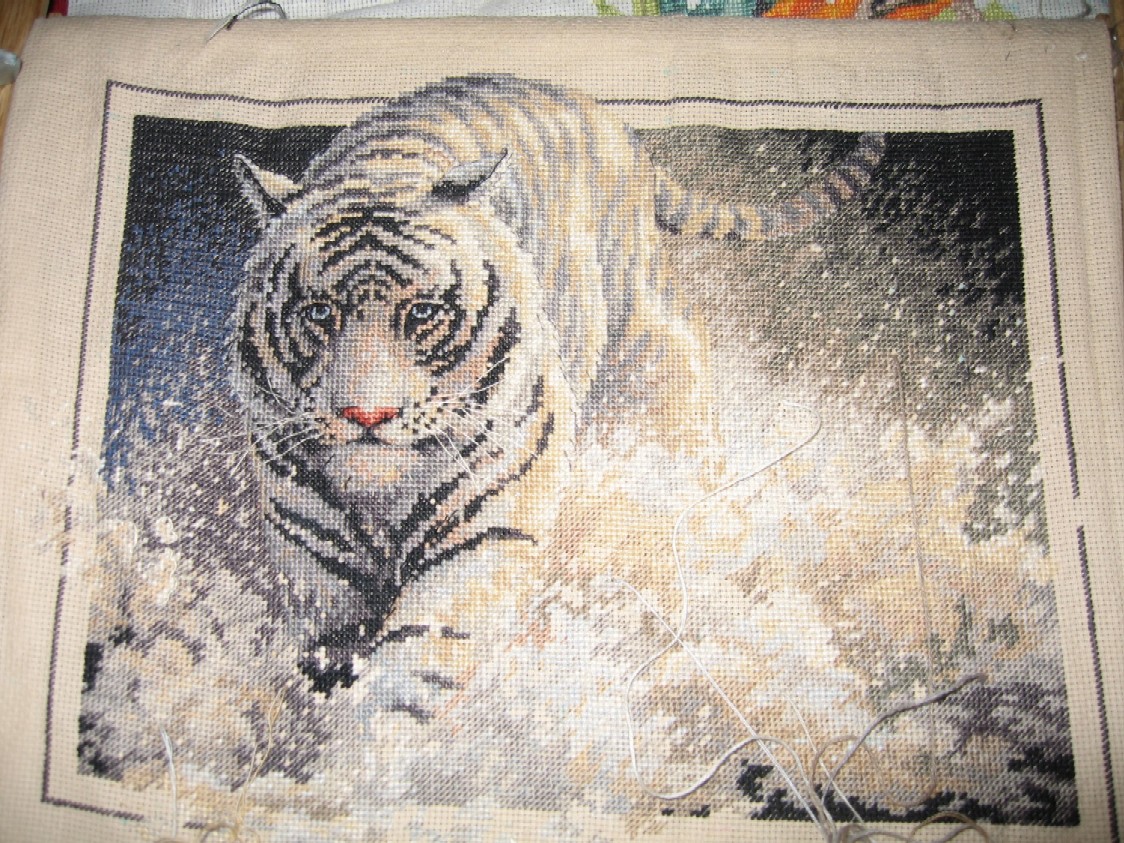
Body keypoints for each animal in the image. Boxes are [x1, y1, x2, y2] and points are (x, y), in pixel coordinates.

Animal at [232, 74, 884, 691]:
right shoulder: (312, 555)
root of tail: (605, 116)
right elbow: (330, 656)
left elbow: (421, 652)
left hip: (649, 350)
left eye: (422, 313)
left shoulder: (487, 530)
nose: (367, 416)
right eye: (319, 313)